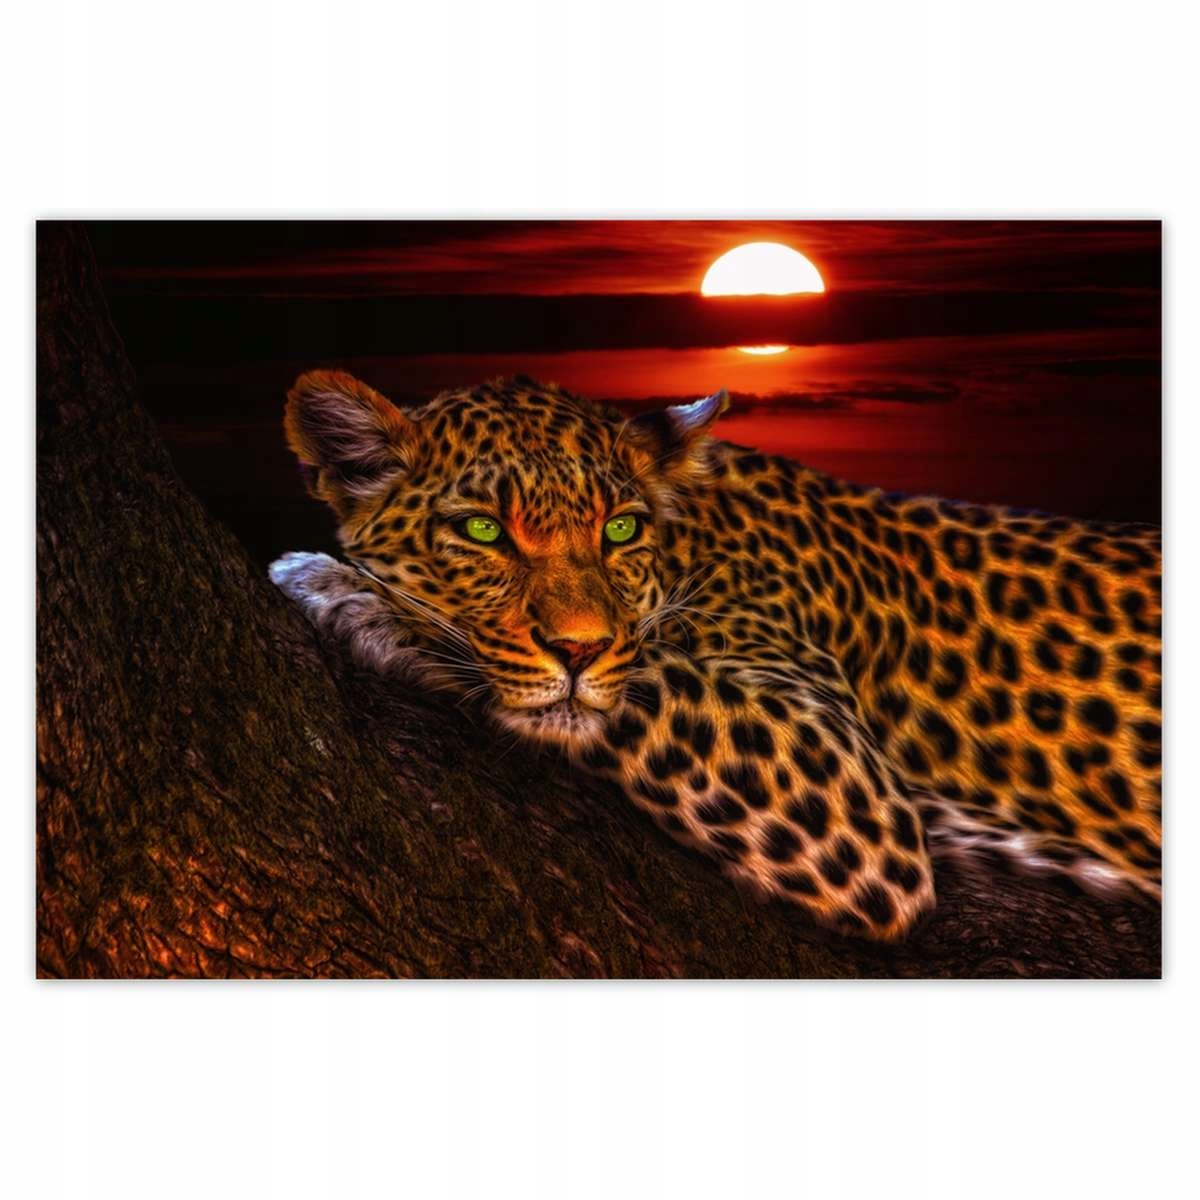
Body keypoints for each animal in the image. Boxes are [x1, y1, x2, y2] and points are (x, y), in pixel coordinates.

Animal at [270, 370, 1162, 942]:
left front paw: (348, 592)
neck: (693, 540)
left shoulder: (845, 783)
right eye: (484, 530)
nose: (578, 648)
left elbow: (635, 684)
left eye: (619, 528)